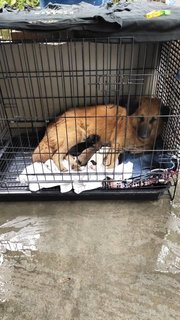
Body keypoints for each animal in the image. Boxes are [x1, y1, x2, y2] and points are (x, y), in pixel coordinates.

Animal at [32, 97, 165, 171]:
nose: (144, 136)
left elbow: (149, 147)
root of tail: (52, 121)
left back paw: (75, 164)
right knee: (56, 155)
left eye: (154, 120)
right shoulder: (116, 144)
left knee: (65, 155)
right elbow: (112, 161)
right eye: (141, 118)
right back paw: (63, 168)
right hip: (76, 134)